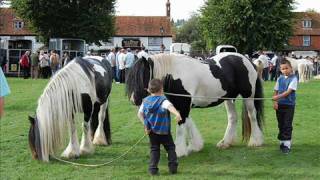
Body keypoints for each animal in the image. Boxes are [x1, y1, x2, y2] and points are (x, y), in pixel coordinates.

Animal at [126, 52, 264, 157]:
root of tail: (247, 60)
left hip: (248, 97)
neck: (175, 75)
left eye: (142, 76)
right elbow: (188, 124)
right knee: (232, 117)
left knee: (252, 116)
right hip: (229, 98)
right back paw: (225, 142)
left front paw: (178, 151)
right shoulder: (180, 106)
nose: (134, 100)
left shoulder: (183, 105)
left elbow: (181, 127)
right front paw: (196, 146)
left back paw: (255, 141)